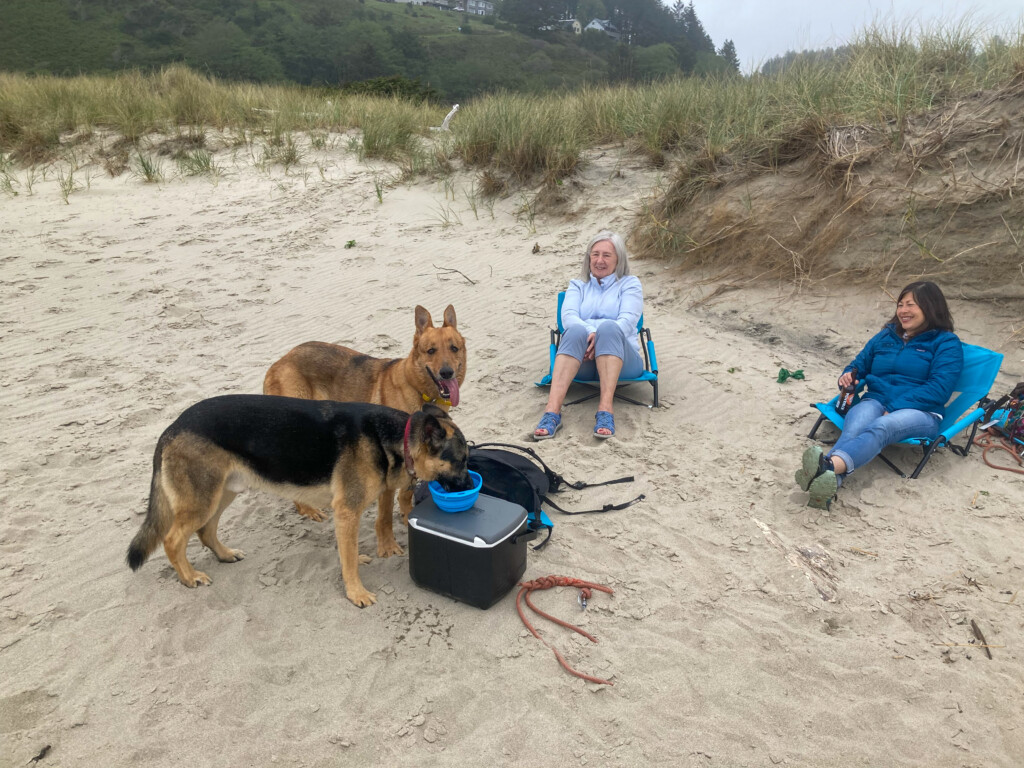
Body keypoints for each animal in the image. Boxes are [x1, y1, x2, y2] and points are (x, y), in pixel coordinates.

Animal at [266, 303, 468, 528]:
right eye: (431, 351)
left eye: (454, 348)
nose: (447, 373)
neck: (417, 388)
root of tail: (279, 362)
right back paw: (307, 509)